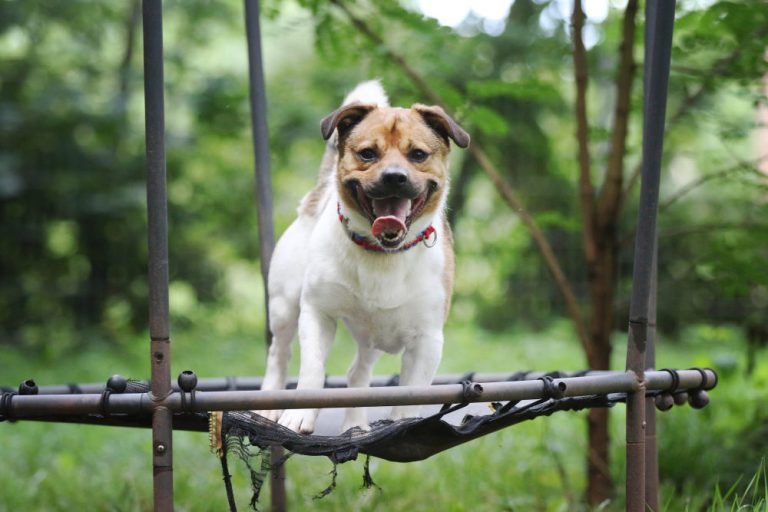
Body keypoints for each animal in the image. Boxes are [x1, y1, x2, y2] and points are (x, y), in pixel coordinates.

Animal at [257, 81, 469, 434]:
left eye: (418, 155)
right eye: (368, 153)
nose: (394, 177)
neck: (382, 252)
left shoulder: (426, 340)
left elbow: (410, 392)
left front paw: (403, 426)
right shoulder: (317, 313)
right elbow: (312, 371)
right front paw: (300, 414)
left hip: (375, 338)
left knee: (357, 374)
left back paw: (354, 425)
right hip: (284, 306)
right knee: (279, 355)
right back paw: (268, 403)